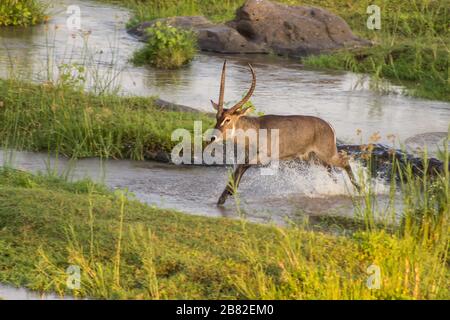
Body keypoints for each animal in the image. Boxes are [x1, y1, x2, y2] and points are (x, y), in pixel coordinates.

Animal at [209, 60, 360, 205]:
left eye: (228, 119)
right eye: (217, 117)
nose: (213, 137)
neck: (255, 129)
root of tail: (329, 125)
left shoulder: (264, 156)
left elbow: (242, 166)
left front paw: (228, 193)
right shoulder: (249, 155)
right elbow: (239, 169)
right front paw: (223, 197)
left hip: (327, 155)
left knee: (345, 161)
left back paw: (359, 190)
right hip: (316, 159)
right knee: (332, 172)